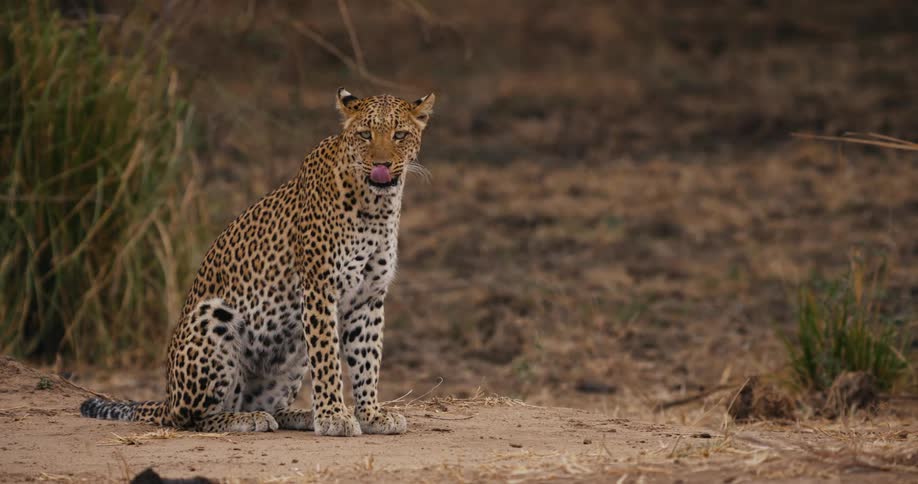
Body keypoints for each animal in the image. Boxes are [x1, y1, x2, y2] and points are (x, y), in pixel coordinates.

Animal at [80, 88, 435, 436]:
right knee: (194, 419)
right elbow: (328, 360)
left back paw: (297, 415)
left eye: (400, 134)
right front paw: (334, 416)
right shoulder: (320, 289)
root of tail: (168, 398)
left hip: (293, 352)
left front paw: (370, 414)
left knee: (263, 404)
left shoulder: (369, 297)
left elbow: (367, 359)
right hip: (213, 319)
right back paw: (246, 420)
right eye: (365, 134)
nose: (381, 164)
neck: (377, 206)